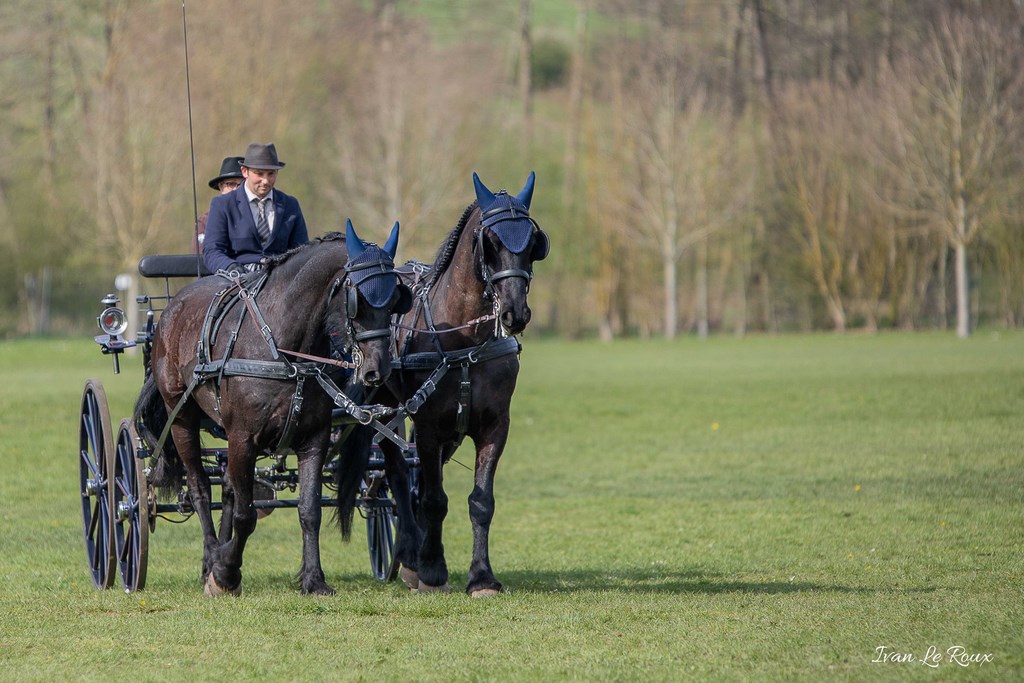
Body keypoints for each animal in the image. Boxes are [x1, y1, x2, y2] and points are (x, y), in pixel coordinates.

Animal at [136, 222, 411, 593]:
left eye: (396, 299)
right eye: (357, 300)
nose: (376, 370)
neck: (284, 351)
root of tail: (171, 310)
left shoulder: (314, 439)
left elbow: (309, 511)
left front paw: (313, 579)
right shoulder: (243, 438)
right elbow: (246, 514)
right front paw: (225, 573)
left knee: (227, 487)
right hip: (182, 419)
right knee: (199, 488)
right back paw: (211, 559)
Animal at [380, 172, 548, 598]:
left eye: (532, 242)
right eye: (491, 242)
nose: (515, 313)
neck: (465, 342)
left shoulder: (493, 426)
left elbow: (481, 501)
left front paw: (482, 576)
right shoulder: (427, 427)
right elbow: (434, 499)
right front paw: (432, 569)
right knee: (398, 476)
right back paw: (411, 555)